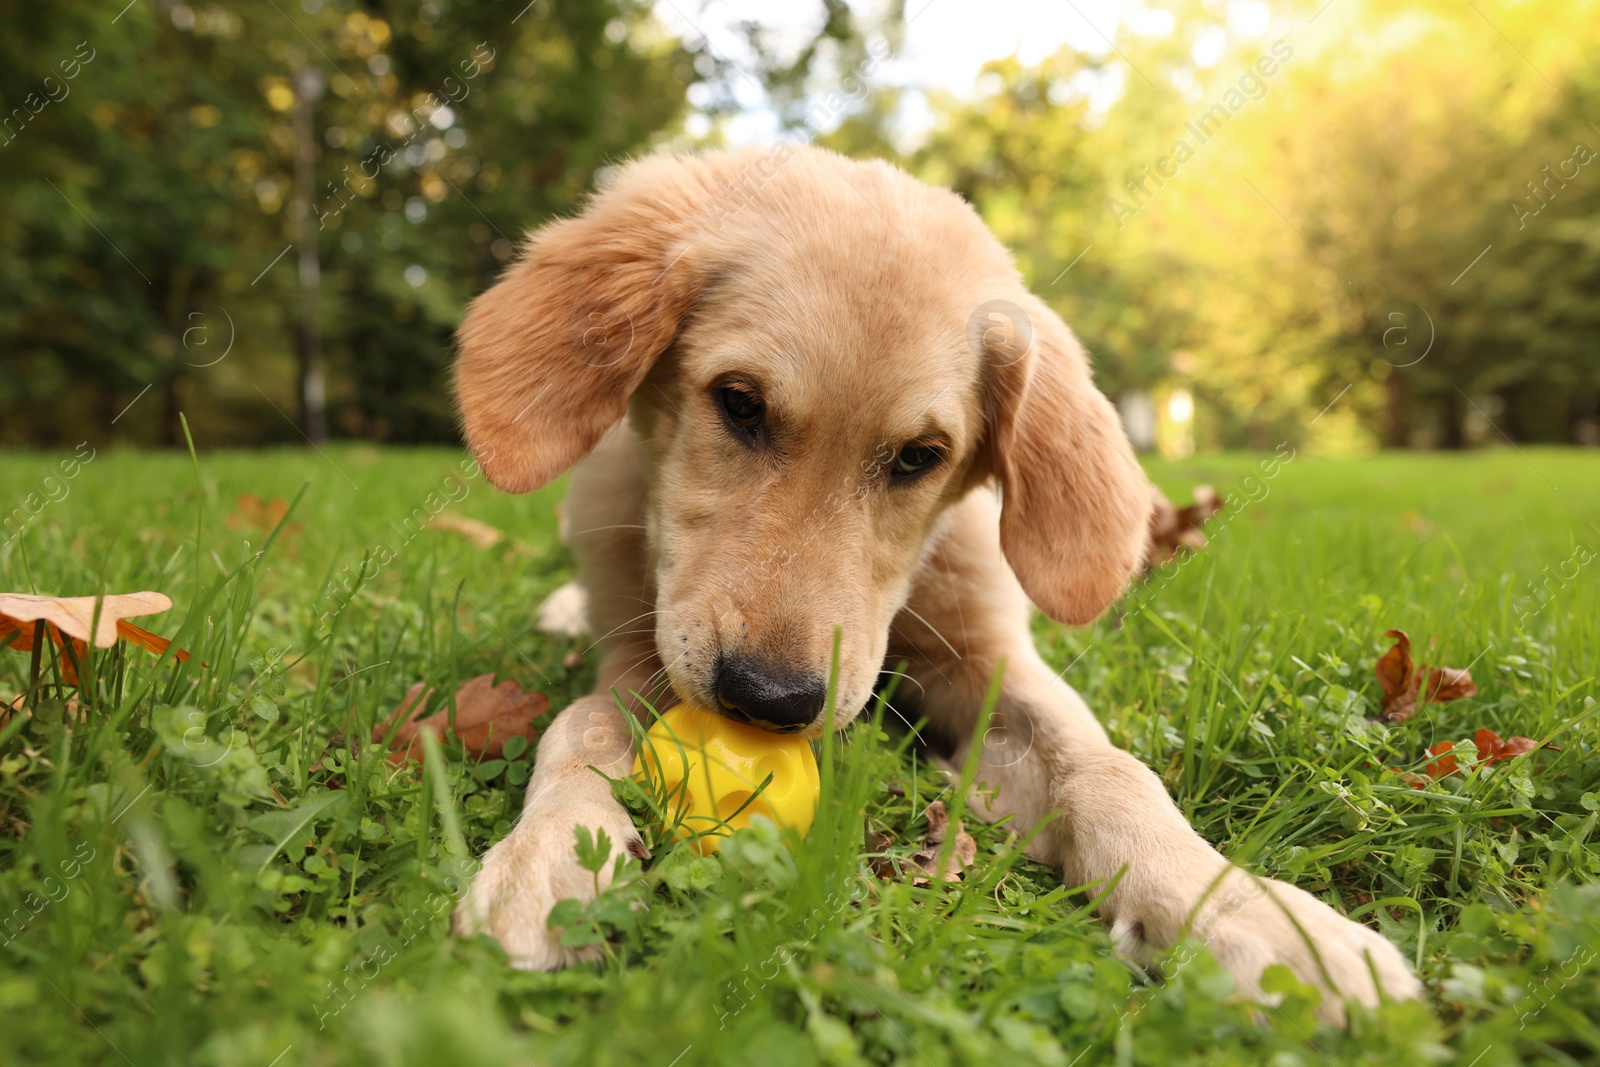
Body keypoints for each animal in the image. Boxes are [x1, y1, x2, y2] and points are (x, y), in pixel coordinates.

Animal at [454, 146, 1427, 1023]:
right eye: (739, 403)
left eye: (920, 457)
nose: (769, 700)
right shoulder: (640, 653)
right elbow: (581, 723)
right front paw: (550, 857)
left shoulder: (990, 663)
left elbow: (1108, 767)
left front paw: (1245, 913)